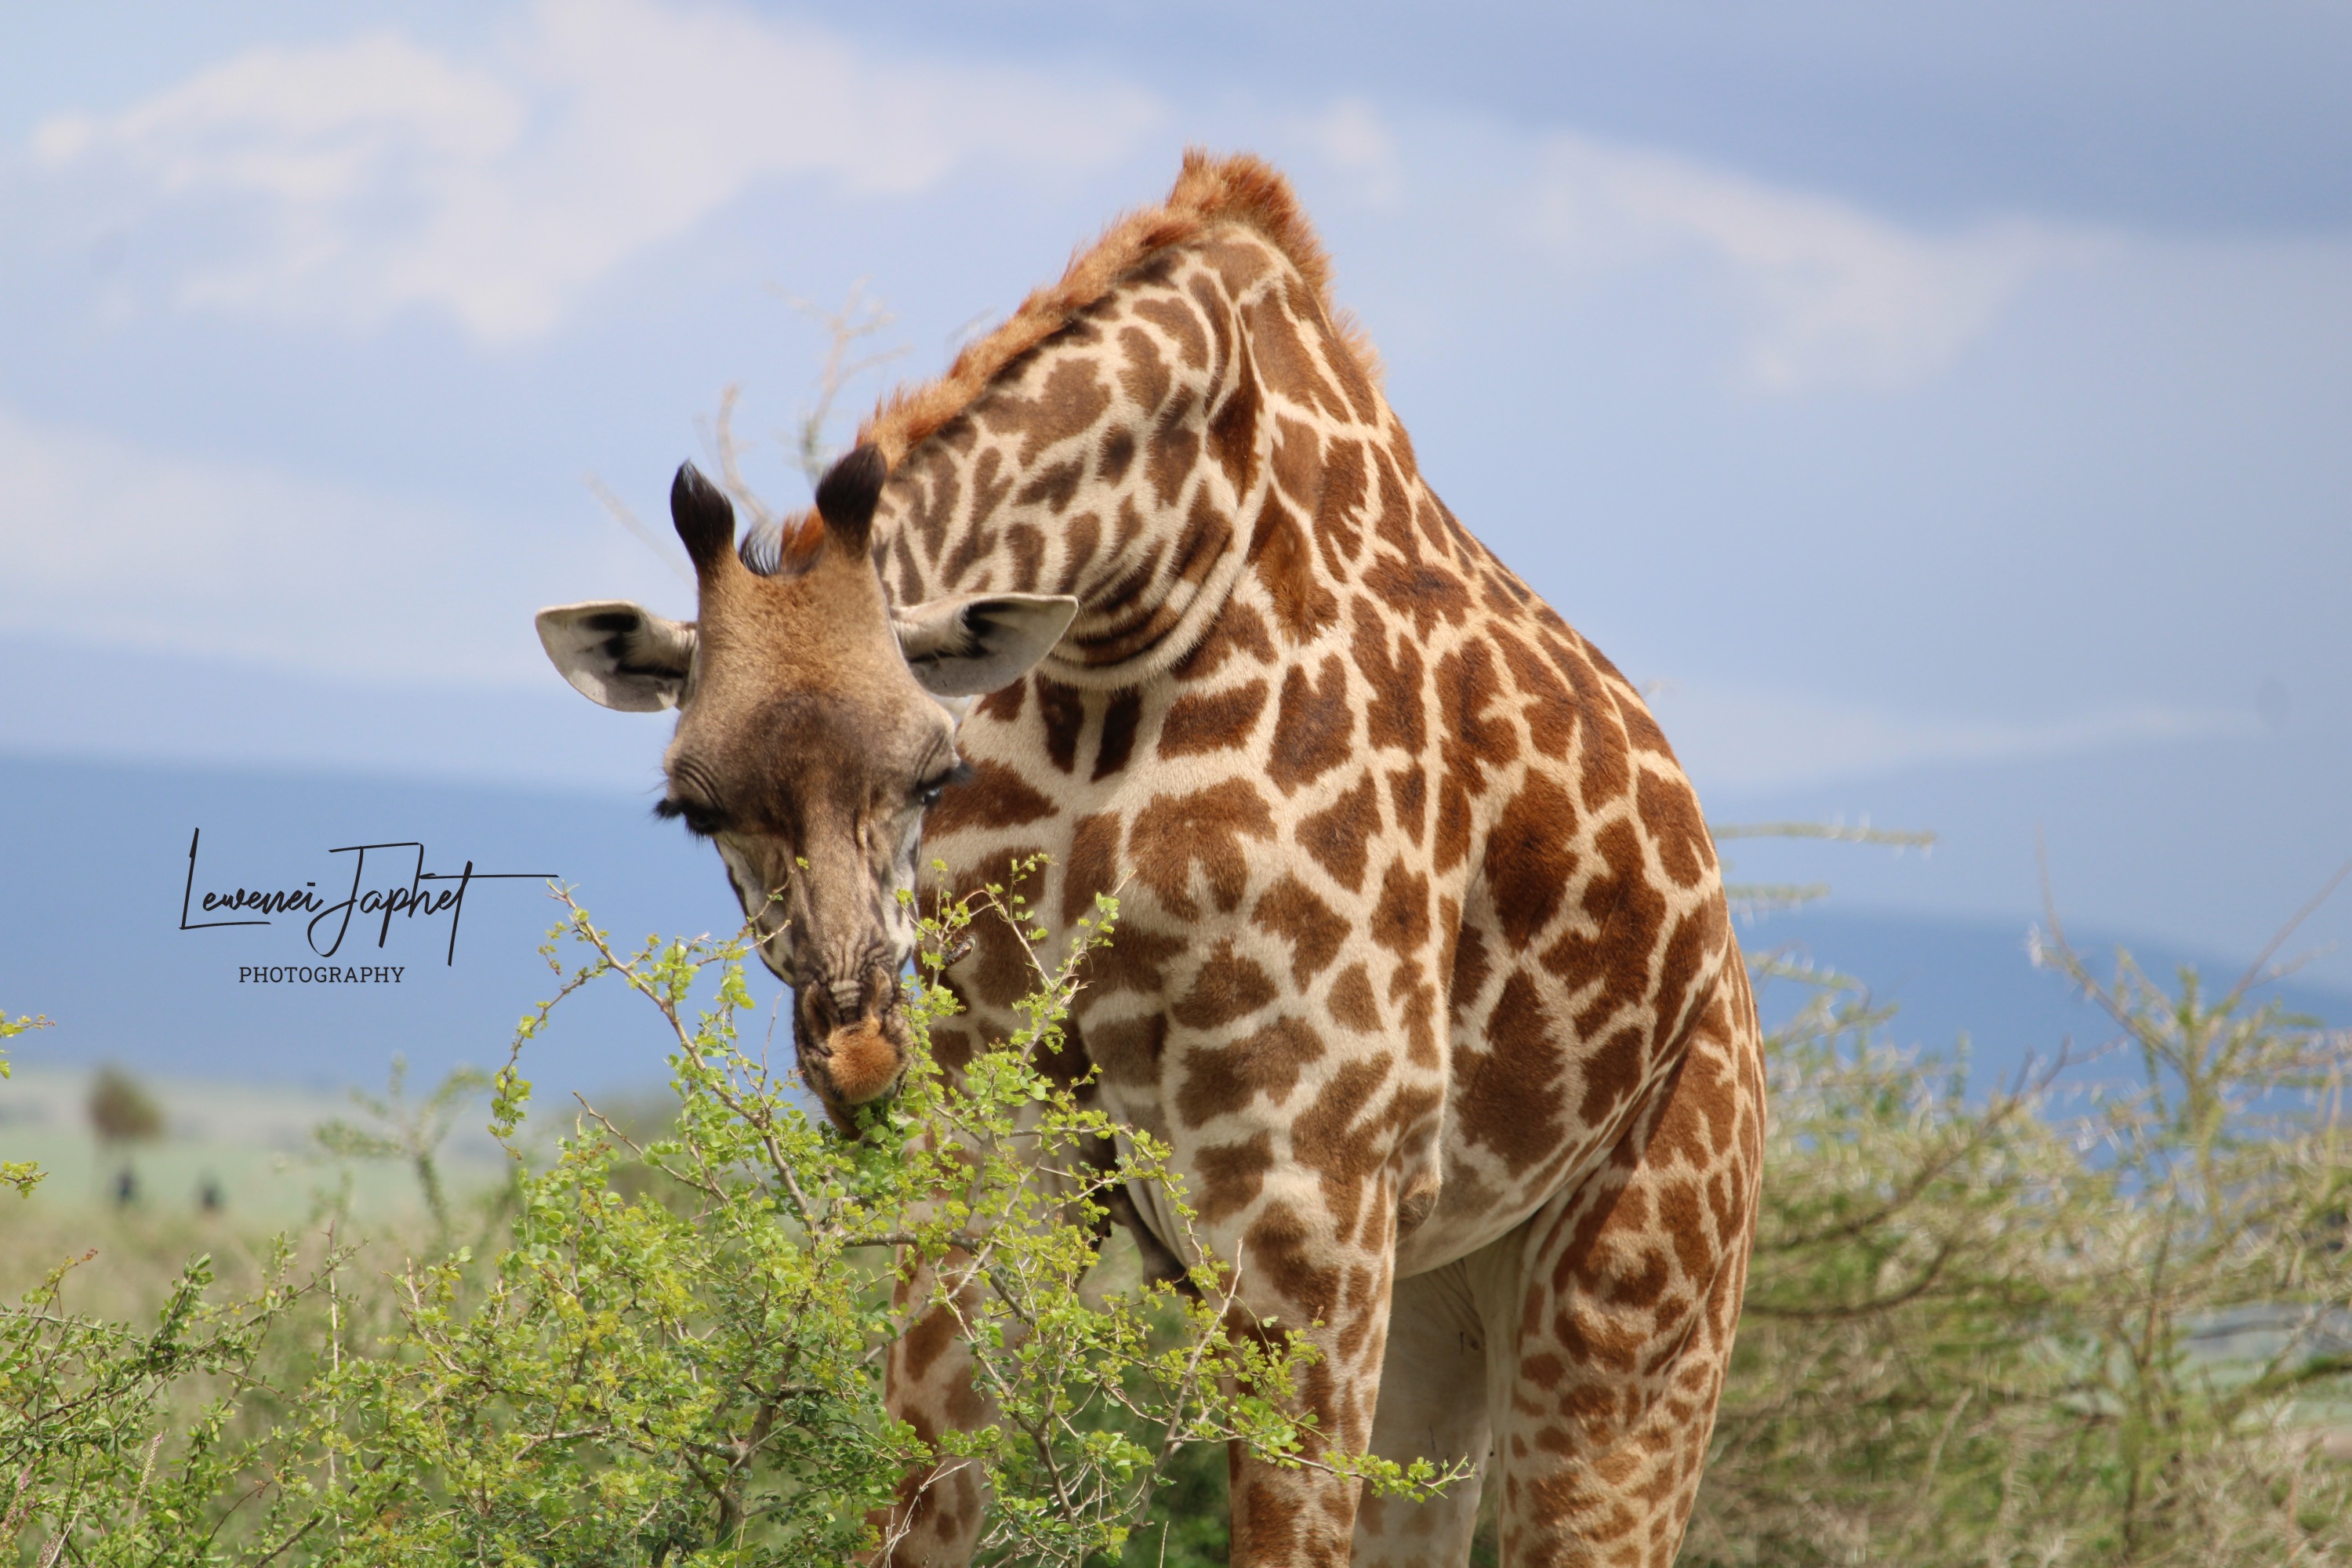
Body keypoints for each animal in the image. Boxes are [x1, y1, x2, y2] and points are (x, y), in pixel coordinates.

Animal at [541, 150, 1769, 1568]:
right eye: (689, 807)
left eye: (931, 773)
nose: (856, 1061)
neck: (1134, 617)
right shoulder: (991, 1160)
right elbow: (922, 1510)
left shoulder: (1309, 1197)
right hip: (1443, 1305)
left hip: (1638, 1303)